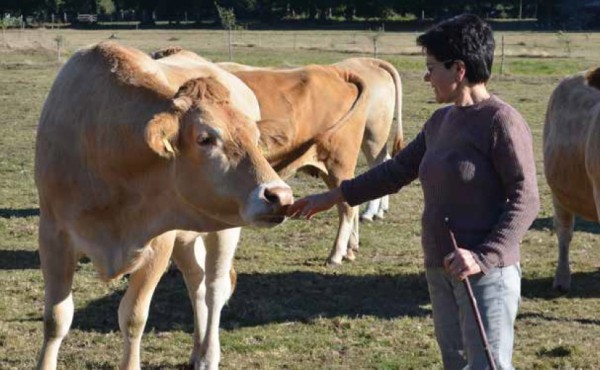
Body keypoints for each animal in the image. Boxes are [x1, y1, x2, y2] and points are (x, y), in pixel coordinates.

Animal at [35, 40, 292, 370]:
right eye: (205, 138)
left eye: (256, 137)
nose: (280, 196)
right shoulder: (53, 235)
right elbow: (56, 318)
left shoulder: (159, 242)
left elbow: (133, 317)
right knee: (196, 282)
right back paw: (197, 350)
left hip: (225, 228)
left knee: (214, 288)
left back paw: (208, 354)